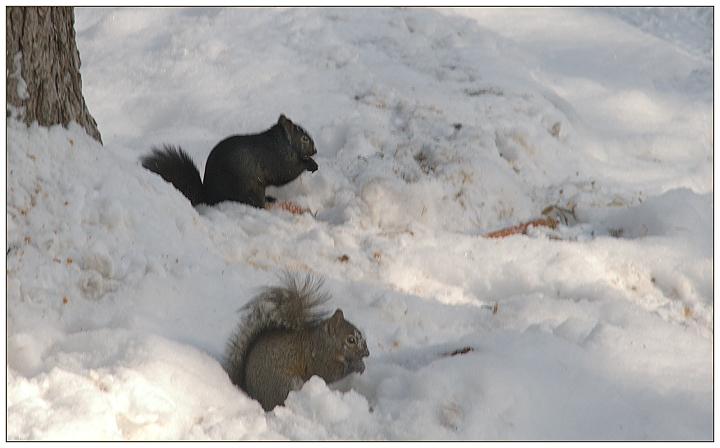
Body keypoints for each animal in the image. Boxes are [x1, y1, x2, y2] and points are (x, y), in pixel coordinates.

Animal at [141, 114, 318, 208]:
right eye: (304, 138)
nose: (315, 151)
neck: (280, 143)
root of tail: (209, 199)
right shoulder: (277, 159)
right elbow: (286, 173)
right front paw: (310, 163)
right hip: (251, 190)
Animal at [225, 272, 372, 412]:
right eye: (351, 340)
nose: (367, 353)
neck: (325, 341)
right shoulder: (319, 357)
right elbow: (329, 373)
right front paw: (356, 365)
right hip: (289, 384)